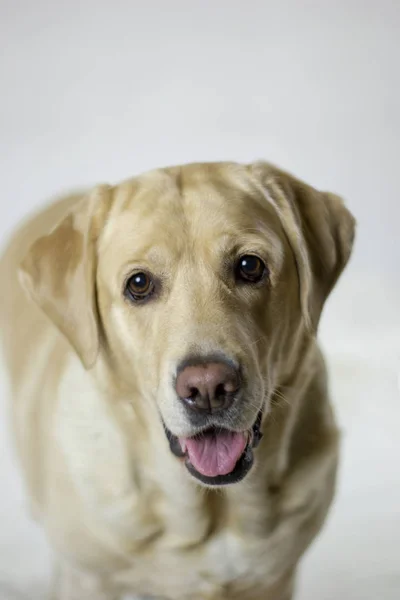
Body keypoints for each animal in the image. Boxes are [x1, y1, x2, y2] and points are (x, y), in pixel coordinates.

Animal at [0, 162, 356, 596]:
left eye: (249, 266)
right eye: (138, 284)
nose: (208, 388)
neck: (212, 508)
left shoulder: (275, 579)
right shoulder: (87, 580)